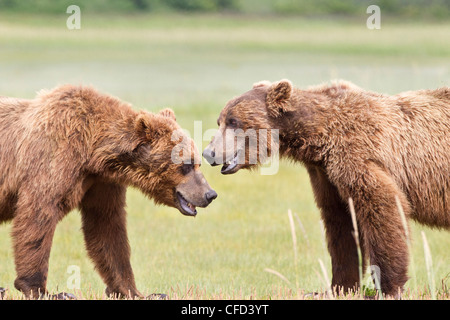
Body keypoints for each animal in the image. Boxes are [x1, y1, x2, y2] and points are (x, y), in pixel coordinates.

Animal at [0, 84, 218, 298]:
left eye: (197, 162)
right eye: (187, 165)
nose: (210, 194)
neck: (92, 152)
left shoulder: (101, 182)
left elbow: (107, 227)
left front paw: (136, 291)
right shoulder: (52, 159)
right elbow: (38, 215)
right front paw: (43, 289)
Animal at [204, 79, 450, 298]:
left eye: (233, 121)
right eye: (219, 120)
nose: (209, 152)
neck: (320, 136)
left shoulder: (359, 156)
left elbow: (383, 209)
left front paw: (387, 288)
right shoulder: (326, 175)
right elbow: (341, 225)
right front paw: (334, 288)